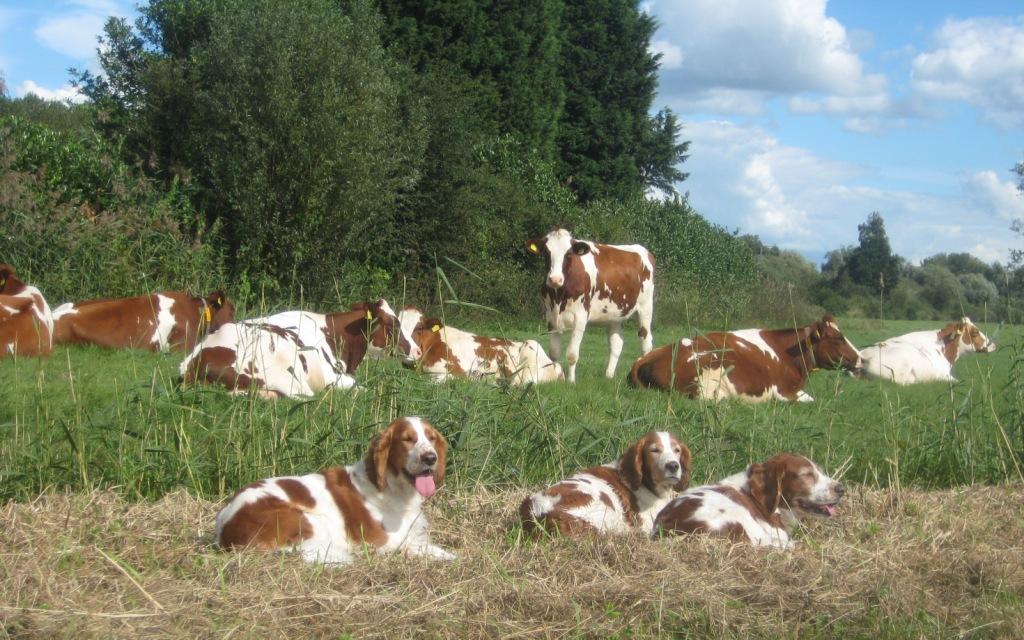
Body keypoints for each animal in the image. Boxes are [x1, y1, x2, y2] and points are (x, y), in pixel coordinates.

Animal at [179, 299, 418, 398]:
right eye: (393, 324)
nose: (417, 351)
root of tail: (195, 361)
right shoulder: (334, 377)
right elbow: (368, 390)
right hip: (290, 375)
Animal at [398, 308, 563, 385]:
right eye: (396, 325)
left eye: (419, 327)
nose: (406, 350)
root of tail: (556, 364)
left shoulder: (458, 372)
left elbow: (436, 380)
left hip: (531, 349)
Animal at [526, 228, 655, 382]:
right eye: (546, 252)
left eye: (568, 254)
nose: (555, 279)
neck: (559, 295)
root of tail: (643, 250)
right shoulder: (551, 316)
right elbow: (554, 353)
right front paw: (557, 377)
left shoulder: (580, 317)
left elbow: (572, 354)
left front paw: (571, 381)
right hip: (614, 314)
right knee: (617, 344)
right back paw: (608, 376)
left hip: (645, 307)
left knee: (646, 342)